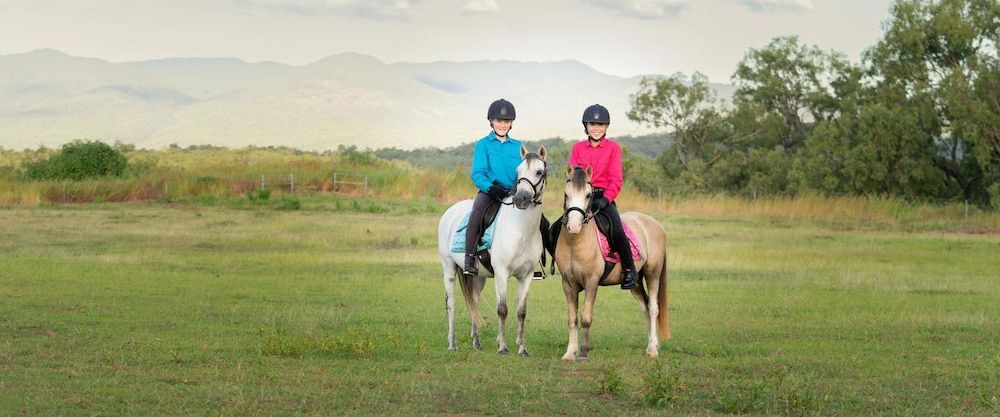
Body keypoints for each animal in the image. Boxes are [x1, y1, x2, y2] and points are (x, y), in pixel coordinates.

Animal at [437, 145, 548, 355]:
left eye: (539, 172)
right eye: (518, 172)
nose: (521, 199)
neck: (521, 230)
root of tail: (450, 211)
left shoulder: (527, 276)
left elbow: (521, 312)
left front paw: (522, 349)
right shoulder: (501, 273)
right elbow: (502, 310)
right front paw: (503, 347)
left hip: (477, 276)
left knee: (474, 300)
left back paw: (477, 343)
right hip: (448, 268)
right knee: (451, 304)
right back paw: (452, 344)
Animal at [554, 165, 670, 360]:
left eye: (588, 195)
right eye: (566, 194)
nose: (574, 227)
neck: (575, 242)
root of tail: (655, 224)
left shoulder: (592, 282)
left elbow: (586, 318)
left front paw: (583, 354)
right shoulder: (567, 284)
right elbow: (572, 319)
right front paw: (570, 353)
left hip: (653, 273)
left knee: (653, 308)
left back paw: (653, 350)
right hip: (635, 282)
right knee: (645, 307)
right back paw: (651, 345)